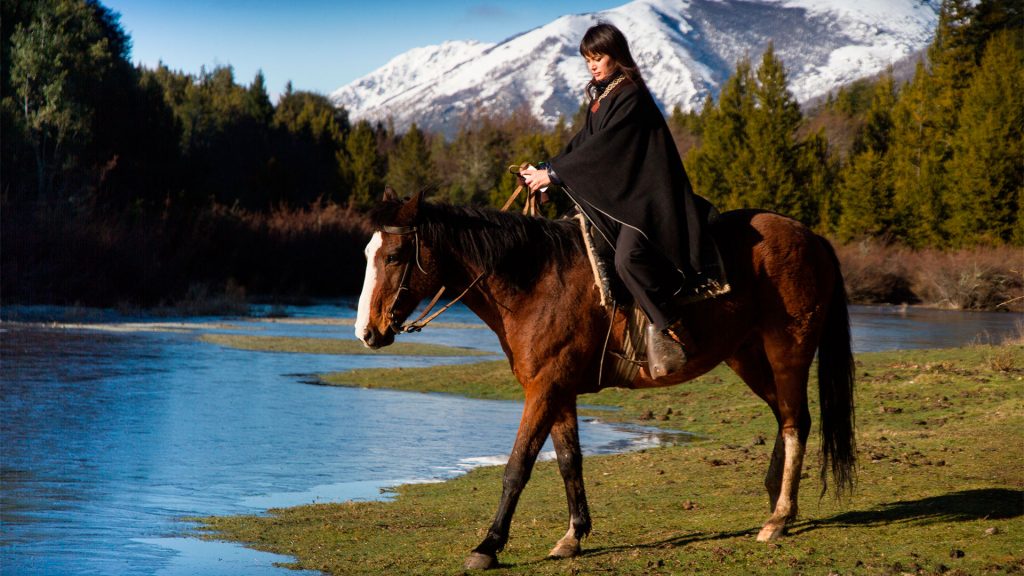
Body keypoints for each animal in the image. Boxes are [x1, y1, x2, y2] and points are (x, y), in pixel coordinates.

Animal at [356, 190, 851, 565]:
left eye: (395, 255)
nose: (366, 332)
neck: (537, 281)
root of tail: (812, 237)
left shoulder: (544, 388)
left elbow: (518, 466)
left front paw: (489, 545)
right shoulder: (560, 390)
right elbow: (569, 462)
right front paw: (572, 536)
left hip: (788, 351)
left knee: (795, 422)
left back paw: (779, 518)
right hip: (746, 356)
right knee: (785, 417)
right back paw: (776, 503)